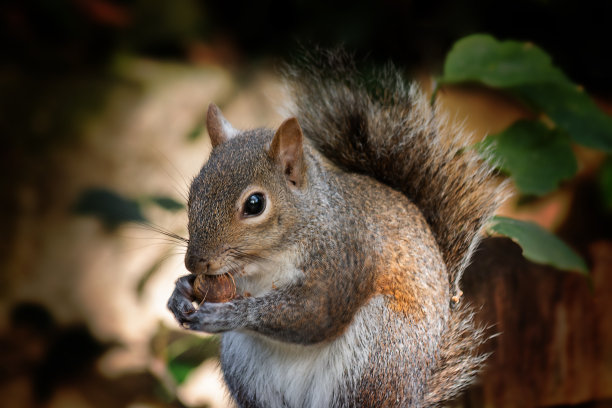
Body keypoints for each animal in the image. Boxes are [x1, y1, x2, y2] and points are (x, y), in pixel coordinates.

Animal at [167, 51, 506, 408]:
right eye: (193, 191)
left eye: (255, 204)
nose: (194, 262)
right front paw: (181, 291)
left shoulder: (345, 261)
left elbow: (316, 314)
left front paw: (231, 315)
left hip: (377, 355)